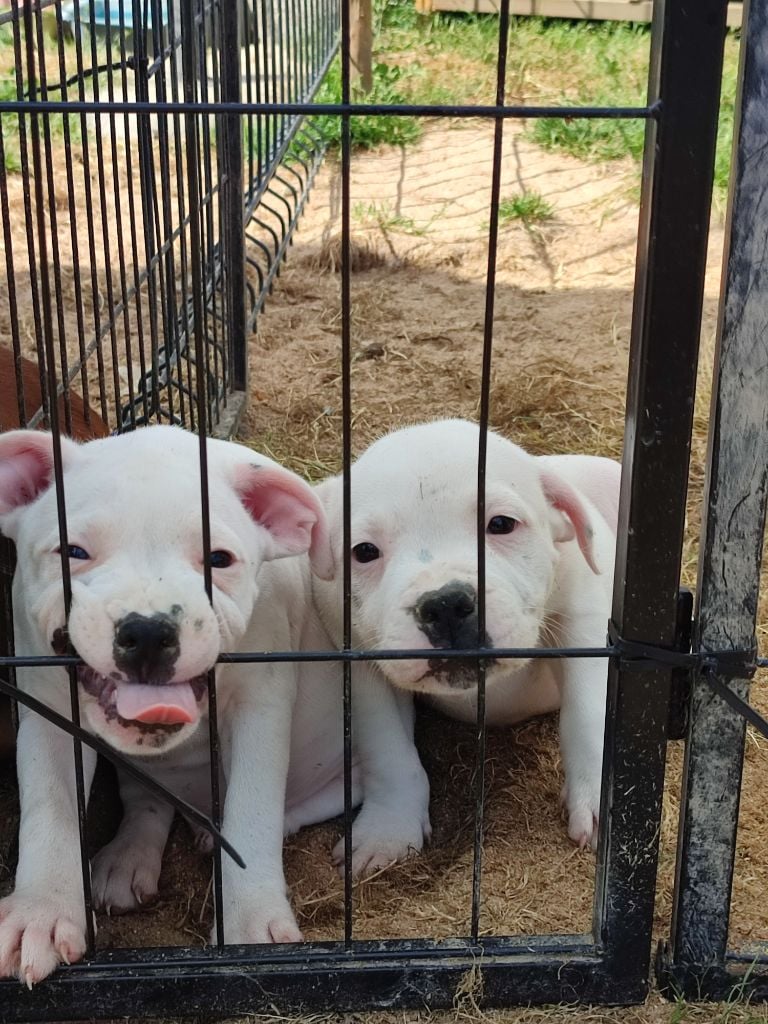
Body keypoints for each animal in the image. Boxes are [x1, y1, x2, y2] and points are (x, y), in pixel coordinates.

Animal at [0, 423, 434, 983]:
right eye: (72, 552)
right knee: (147, 802)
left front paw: (248, 927)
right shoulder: (44, 701)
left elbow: (253, 811)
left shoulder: (260, 704)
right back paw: (127, 858)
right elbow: (49, 809)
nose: (148, 631)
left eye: (218, 560)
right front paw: (40, 914)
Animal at [315, 419, 622, 851]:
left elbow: (589, 713)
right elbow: (386, 745)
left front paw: (598, 800)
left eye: (501, 524)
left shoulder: (587, 618)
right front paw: (387, 831)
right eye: (364, 551)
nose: (445, 605)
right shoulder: (356, 660)